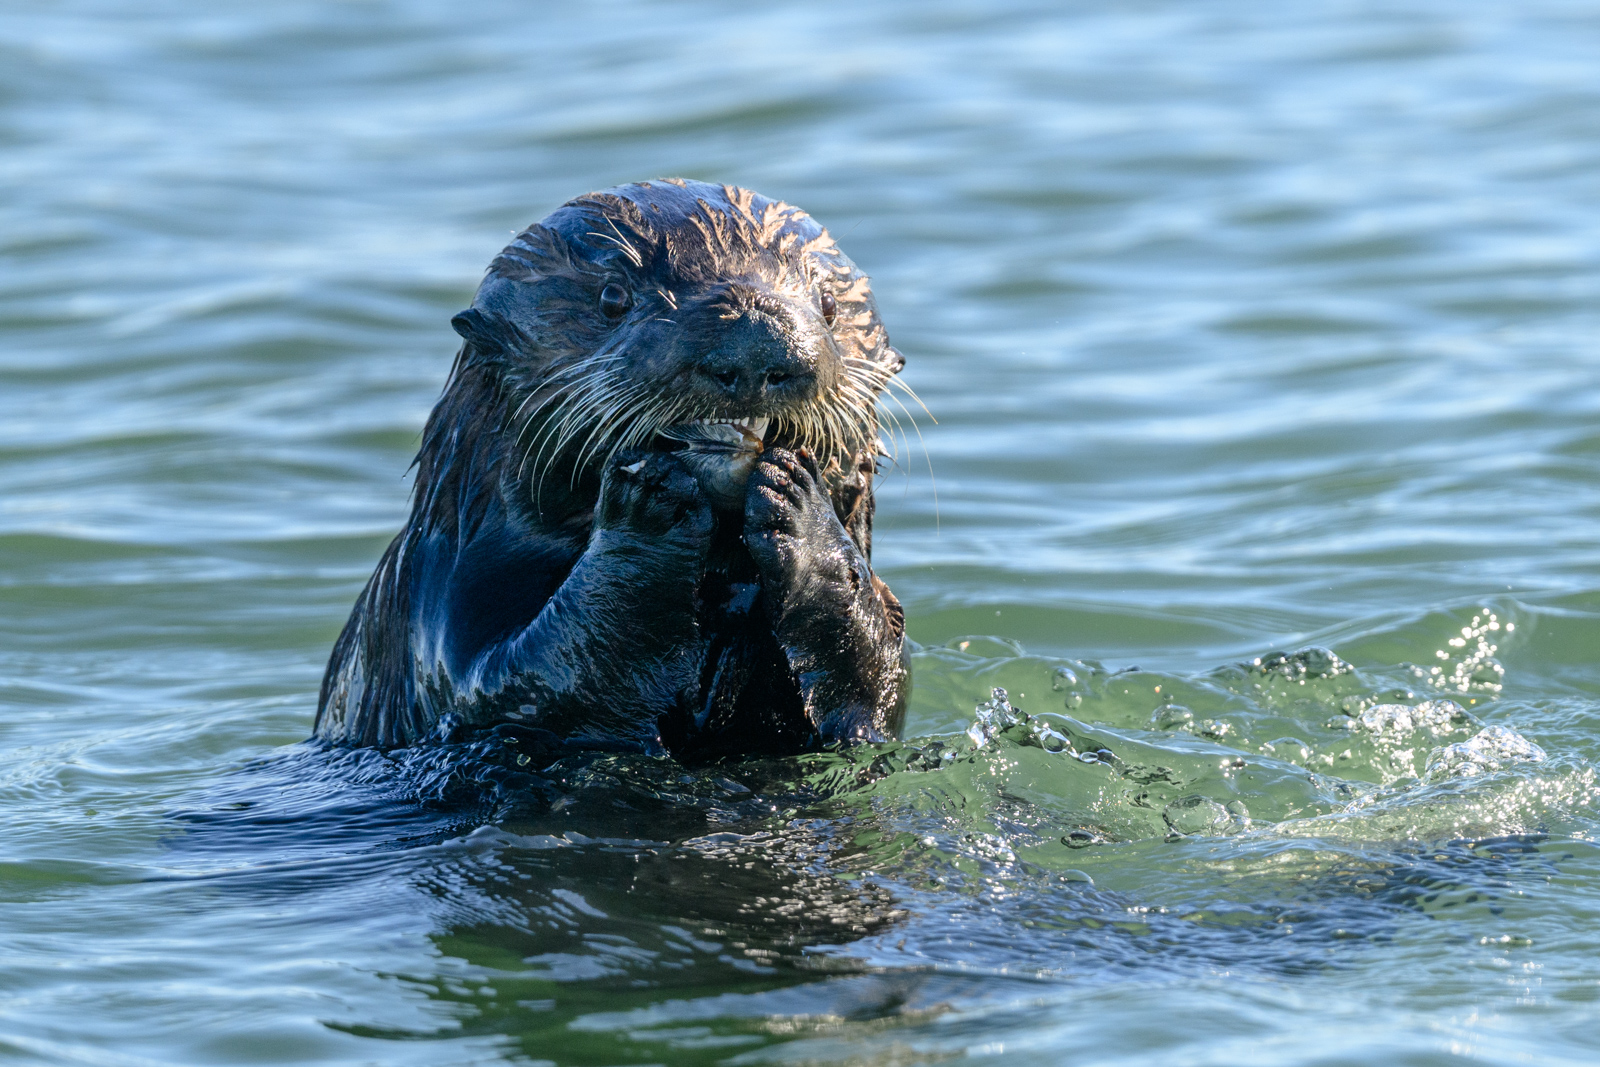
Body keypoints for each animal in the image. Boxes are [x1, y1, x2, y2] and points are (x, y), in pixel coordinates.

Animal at [314, 179, 911, 759]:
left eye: (828, 303)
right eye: (612, 297)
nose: (755, 341)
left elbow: (878, 676)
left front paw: (801, 507)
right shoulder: (437, 624)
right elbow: (531, 682)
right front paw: (651, 494)